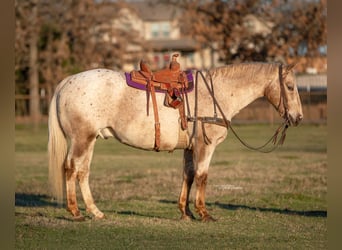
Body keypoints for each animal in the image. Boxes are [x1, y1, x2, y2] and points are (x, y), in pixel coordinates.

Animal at [47, 62, 302, 221]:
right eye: (290, 87)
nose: (298, 117)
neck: (216, 94)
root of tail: (66, 82)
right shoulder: (205, 146)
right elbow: (202, 176)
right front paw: (203, 213)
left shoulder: (189, 148)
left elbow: (188, 175)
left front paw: (185, 212)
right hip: (81, 139)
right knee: (71, 169)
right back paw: (76, 212)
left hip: (90, 140)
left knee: (82, 172)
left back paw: (95, 212)